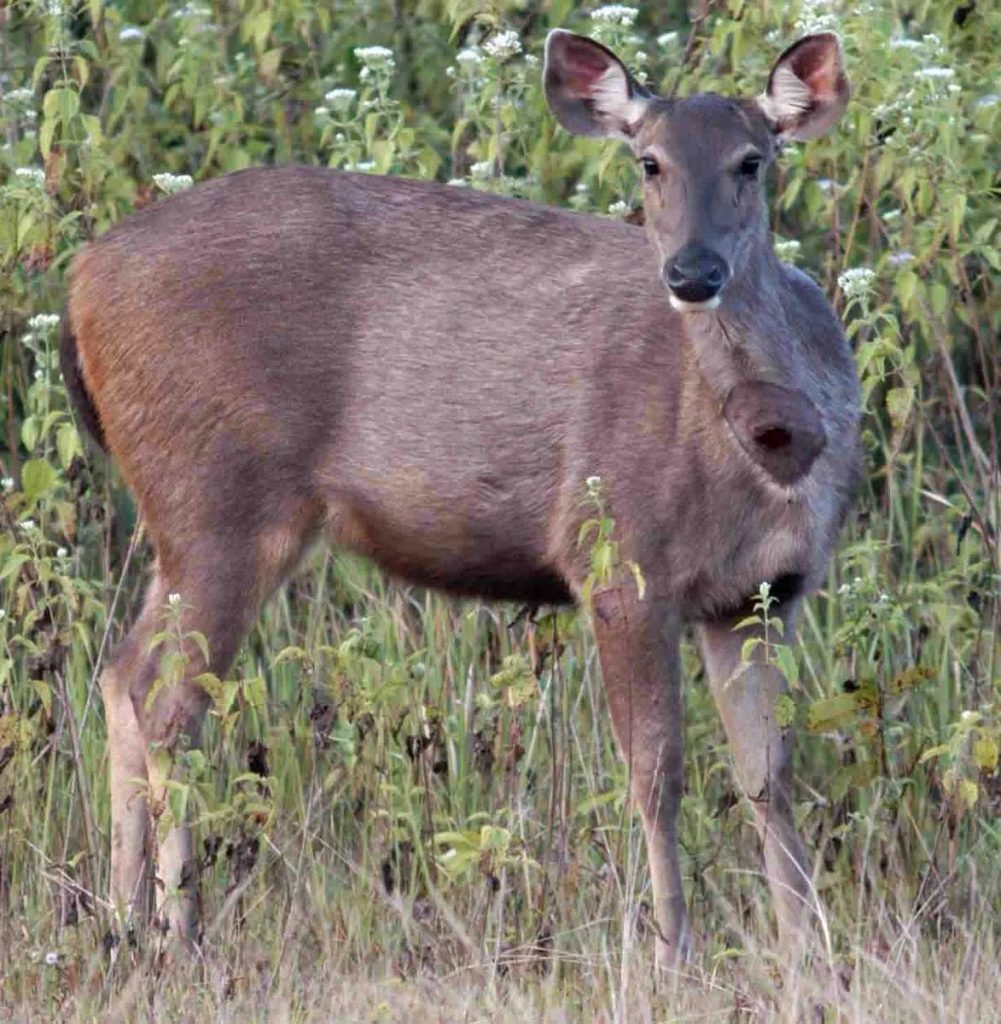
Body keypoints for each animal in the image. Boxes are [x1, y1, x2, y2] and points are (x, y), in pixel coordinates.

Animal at [60, 25, 859, 966]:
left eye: (750, 161)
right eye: (649, 162)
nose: (691, 272)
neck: (769, 448)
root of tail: (80, 277)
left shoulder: (762, 591)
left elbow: (766, 775)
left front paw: (808, 953)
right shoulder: (618, 562)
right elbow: (656, 774)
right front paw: (672, 953)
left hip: (180, 520)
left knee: (121, 677)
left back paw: (124, 924)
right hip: (217, 501)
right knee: (167, 705)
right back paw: (178, 933)